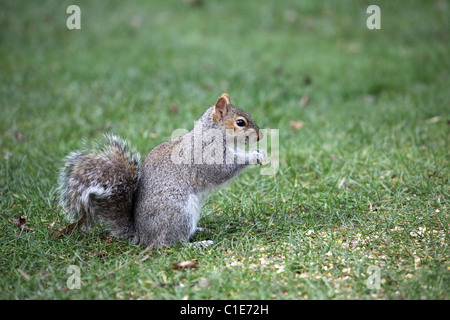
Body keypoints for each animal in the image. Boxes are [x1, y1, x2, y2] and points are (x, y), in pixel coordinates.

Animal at [57, 92, 266, 248]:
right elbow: (223, 169)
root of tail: (141, 235)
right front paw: (254, 155)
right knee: (170, 243)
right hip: (178, 214)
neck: (211, 133)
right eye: (240, 122)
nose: (260, 137)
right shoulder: (206, 154)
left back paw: (199, 230)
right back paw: (198, 244)